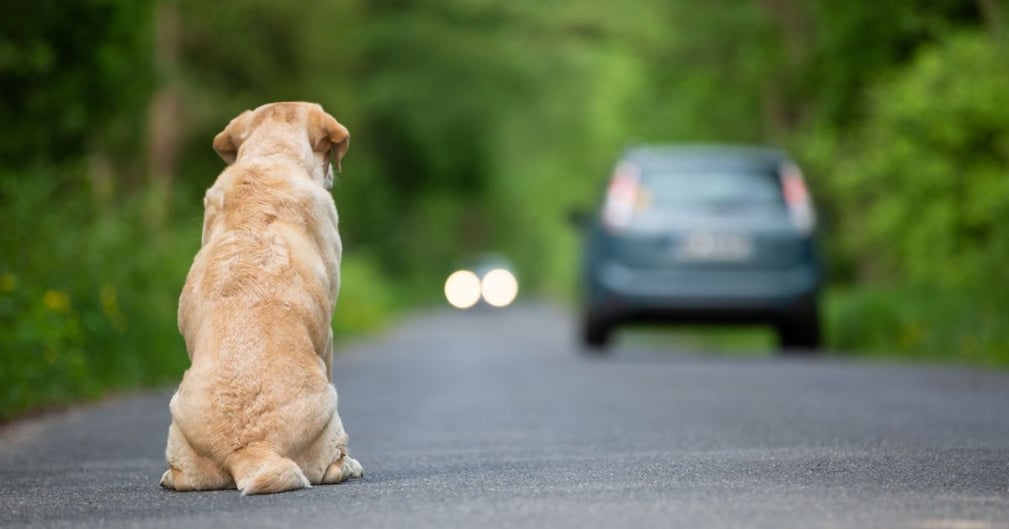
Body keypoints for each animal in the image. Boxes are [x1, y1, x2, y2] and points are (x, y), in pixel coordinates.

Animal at [157, 102, 363, 496]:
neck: (271, 156)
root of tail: (251, 448)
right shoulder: (328, 334)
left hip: (178, 419)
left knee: (181, 476)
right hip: (330, 408)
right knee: (331, 465)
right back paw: (349, 466)